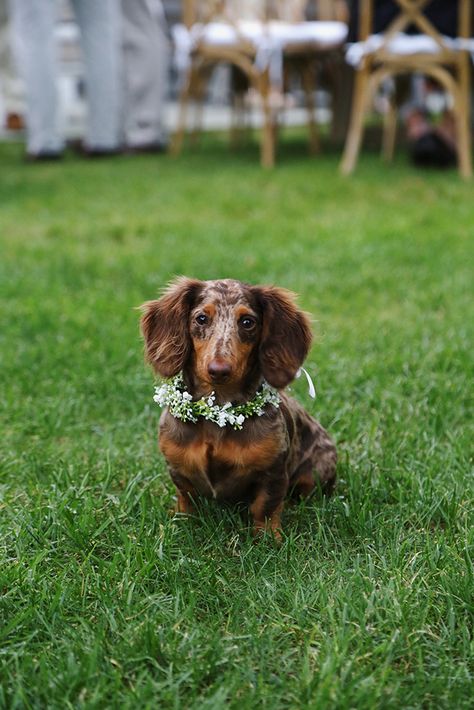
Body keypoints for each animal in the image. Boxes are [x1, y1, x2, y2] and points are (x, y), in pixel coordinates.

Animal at [141, 278, 336, 540]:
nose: (219, 370)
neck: (219, 410)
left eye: (247, 322)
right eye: (201, 318)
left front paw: (268, 539)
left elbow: (265, 506)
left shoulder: (273, 472)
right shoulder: (178, 467)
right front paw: (181, 521)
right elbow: (186, 498)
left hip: (316, 472)